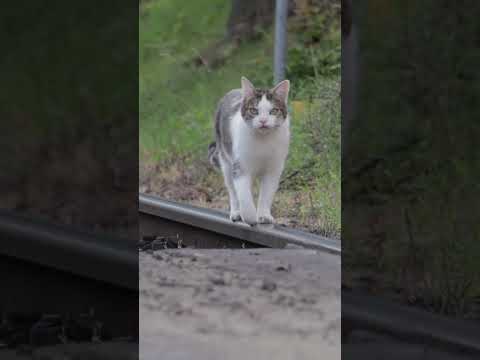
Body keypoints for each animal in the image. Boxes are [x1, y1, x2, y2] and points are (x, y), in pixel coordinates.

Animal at [209, 76, 290, 225]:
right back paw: (236, 212)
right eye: (254, 110)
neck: (263, 141)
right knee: (232, 190)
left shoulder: (274, 169)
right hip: (225, 161)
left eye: (273, 111)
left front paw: (264, 215)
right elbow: (243, 194)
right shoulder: (240, 166)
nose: (263, 120)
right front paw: (250, 216)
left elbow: (266, 194)